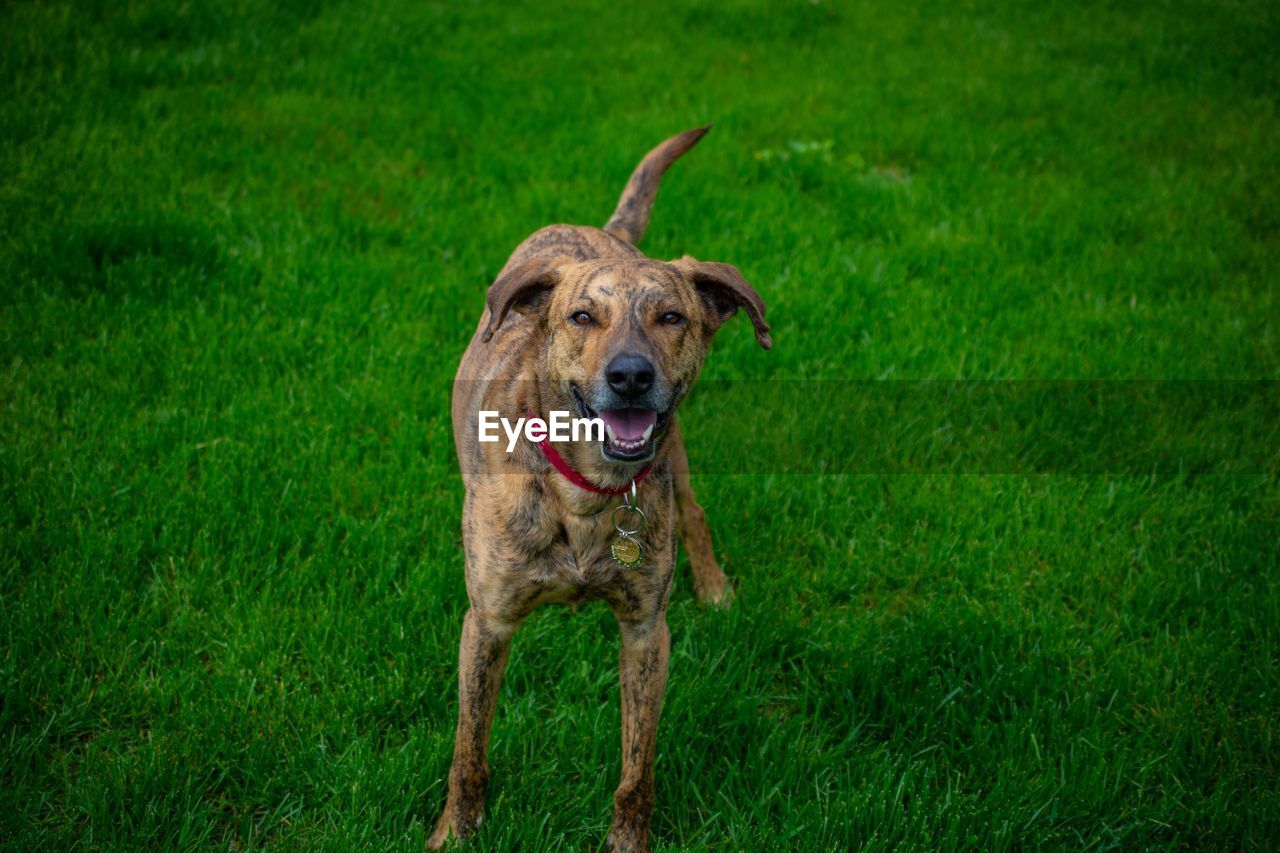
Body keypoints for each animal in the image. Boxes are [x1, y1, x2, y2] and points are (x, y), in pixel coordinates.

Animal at [430, 128, 768, 850]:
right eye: (583, 316)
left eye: (671, 317)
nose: (631, 375)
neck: (585, 491)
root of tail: (603, 233)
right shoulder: (487, 623)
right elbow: (469, 749)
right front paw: (454, 831)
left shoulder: (645, 633)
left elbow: (636, 769)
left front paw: (627, 839)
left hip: (678, 457)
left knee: (694, 511)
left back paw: (715, 586)